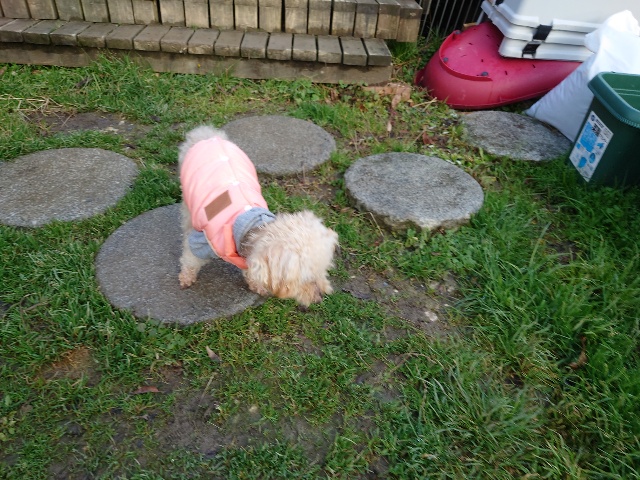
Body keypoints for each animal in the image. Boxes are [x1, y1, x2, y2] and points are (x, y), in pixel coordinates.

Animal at [178, 126, 339, 307]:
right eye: (307, 279)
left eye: (323, 270)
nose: (320, 297)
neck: (250, 226)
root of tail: (209, 135)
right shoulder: (202, 243)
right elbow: (190, 259)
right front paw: (186, 277)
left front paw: (256, 284)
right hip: (187, 197)